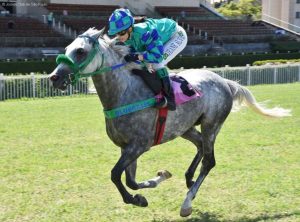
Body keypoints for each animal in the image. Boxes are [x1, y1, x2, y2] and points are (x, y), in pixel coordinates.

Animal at [49, 28, 290, 217]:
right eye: (67, 48)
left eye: (80, 51)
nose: (54, 78)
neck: (124, 92)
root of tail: (225, 81)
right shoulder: (126, 147)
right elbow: (130, 180)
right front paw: (156, 181)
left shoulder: (139, 145)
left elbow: (116, 175)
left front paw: (136, 199)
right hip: (185, 128)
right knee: (200, 146)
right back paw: (189, 180)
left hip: (212, 124)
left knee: (209, 161)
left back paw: (187, 202)